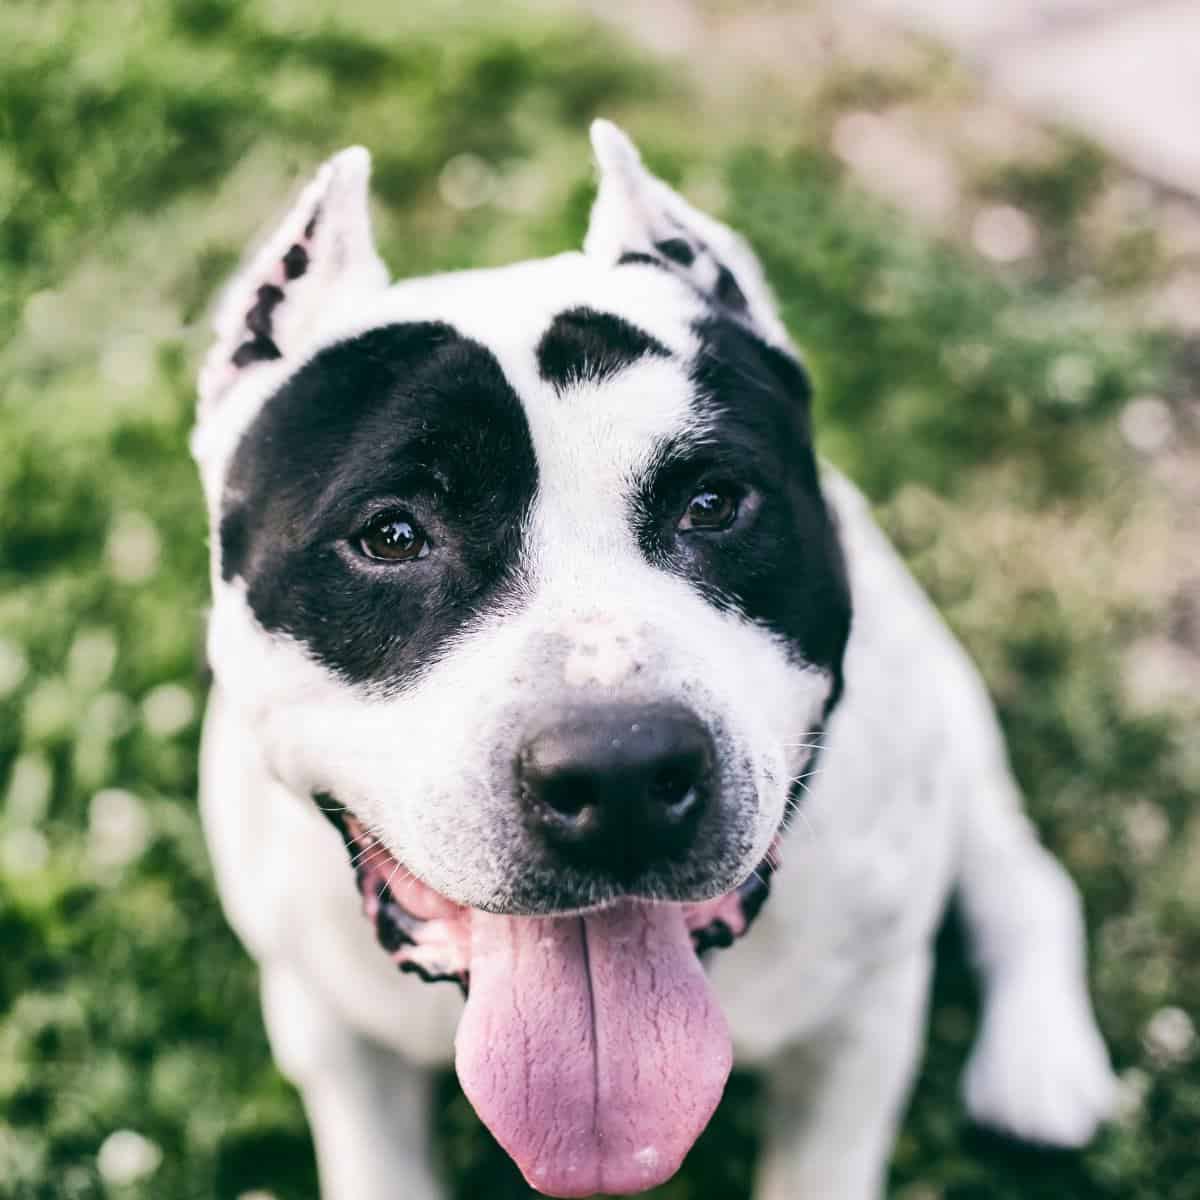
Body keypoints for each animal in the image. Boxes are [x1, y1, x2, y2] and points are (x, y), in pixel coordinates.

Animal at [189, 124, 1113, 1200]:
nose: (618, 773)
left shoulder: (858, 1029)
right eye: (390, 535)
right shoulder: (333, 1030)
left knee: (1020, 871)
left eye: (712, 503)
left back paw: (1039, 1060)